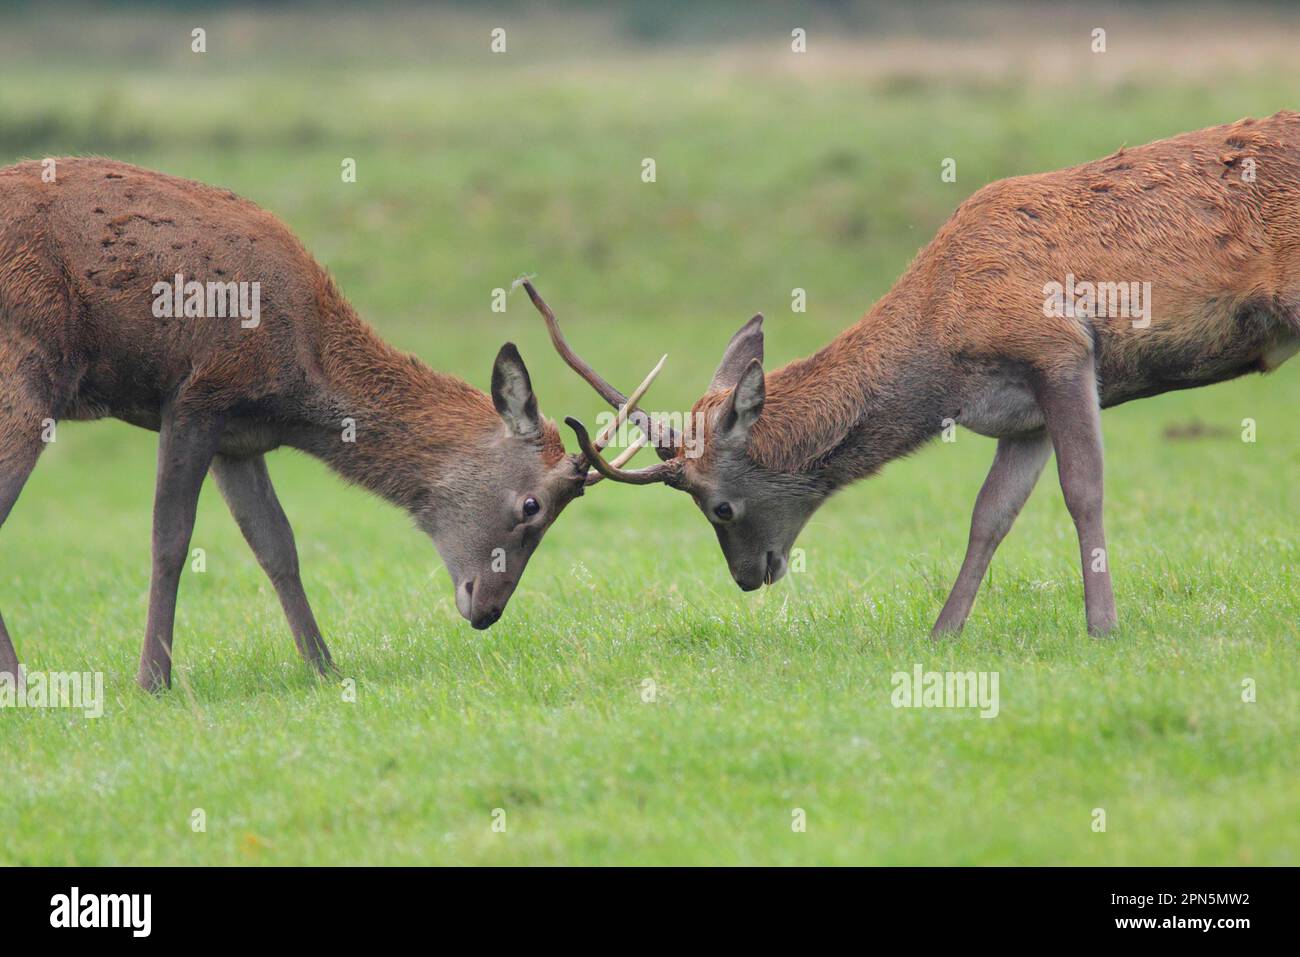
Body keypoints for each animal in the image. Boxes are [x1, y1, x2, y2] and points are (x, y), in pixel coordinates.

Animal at [0, 160, 665, 691]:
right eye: (532, 505)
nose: (487, 611)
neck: (302, 387)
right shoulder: (196, 397)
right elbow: (171, 541)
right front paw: (153, 681)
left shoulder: (239, 437)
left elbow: (277, 546)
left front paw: (324, 668)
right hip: (26, 374)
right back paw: (21, 684)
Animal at [533, 110, 1300, 634]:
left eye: (718, 506)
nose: (751, 578)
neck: (944, 363)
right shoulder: (1021, 414)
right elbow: (991, 513)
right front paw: (943, 632)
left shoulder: (1060, 350)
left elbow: (1084, 491)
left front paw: (1102, 626)